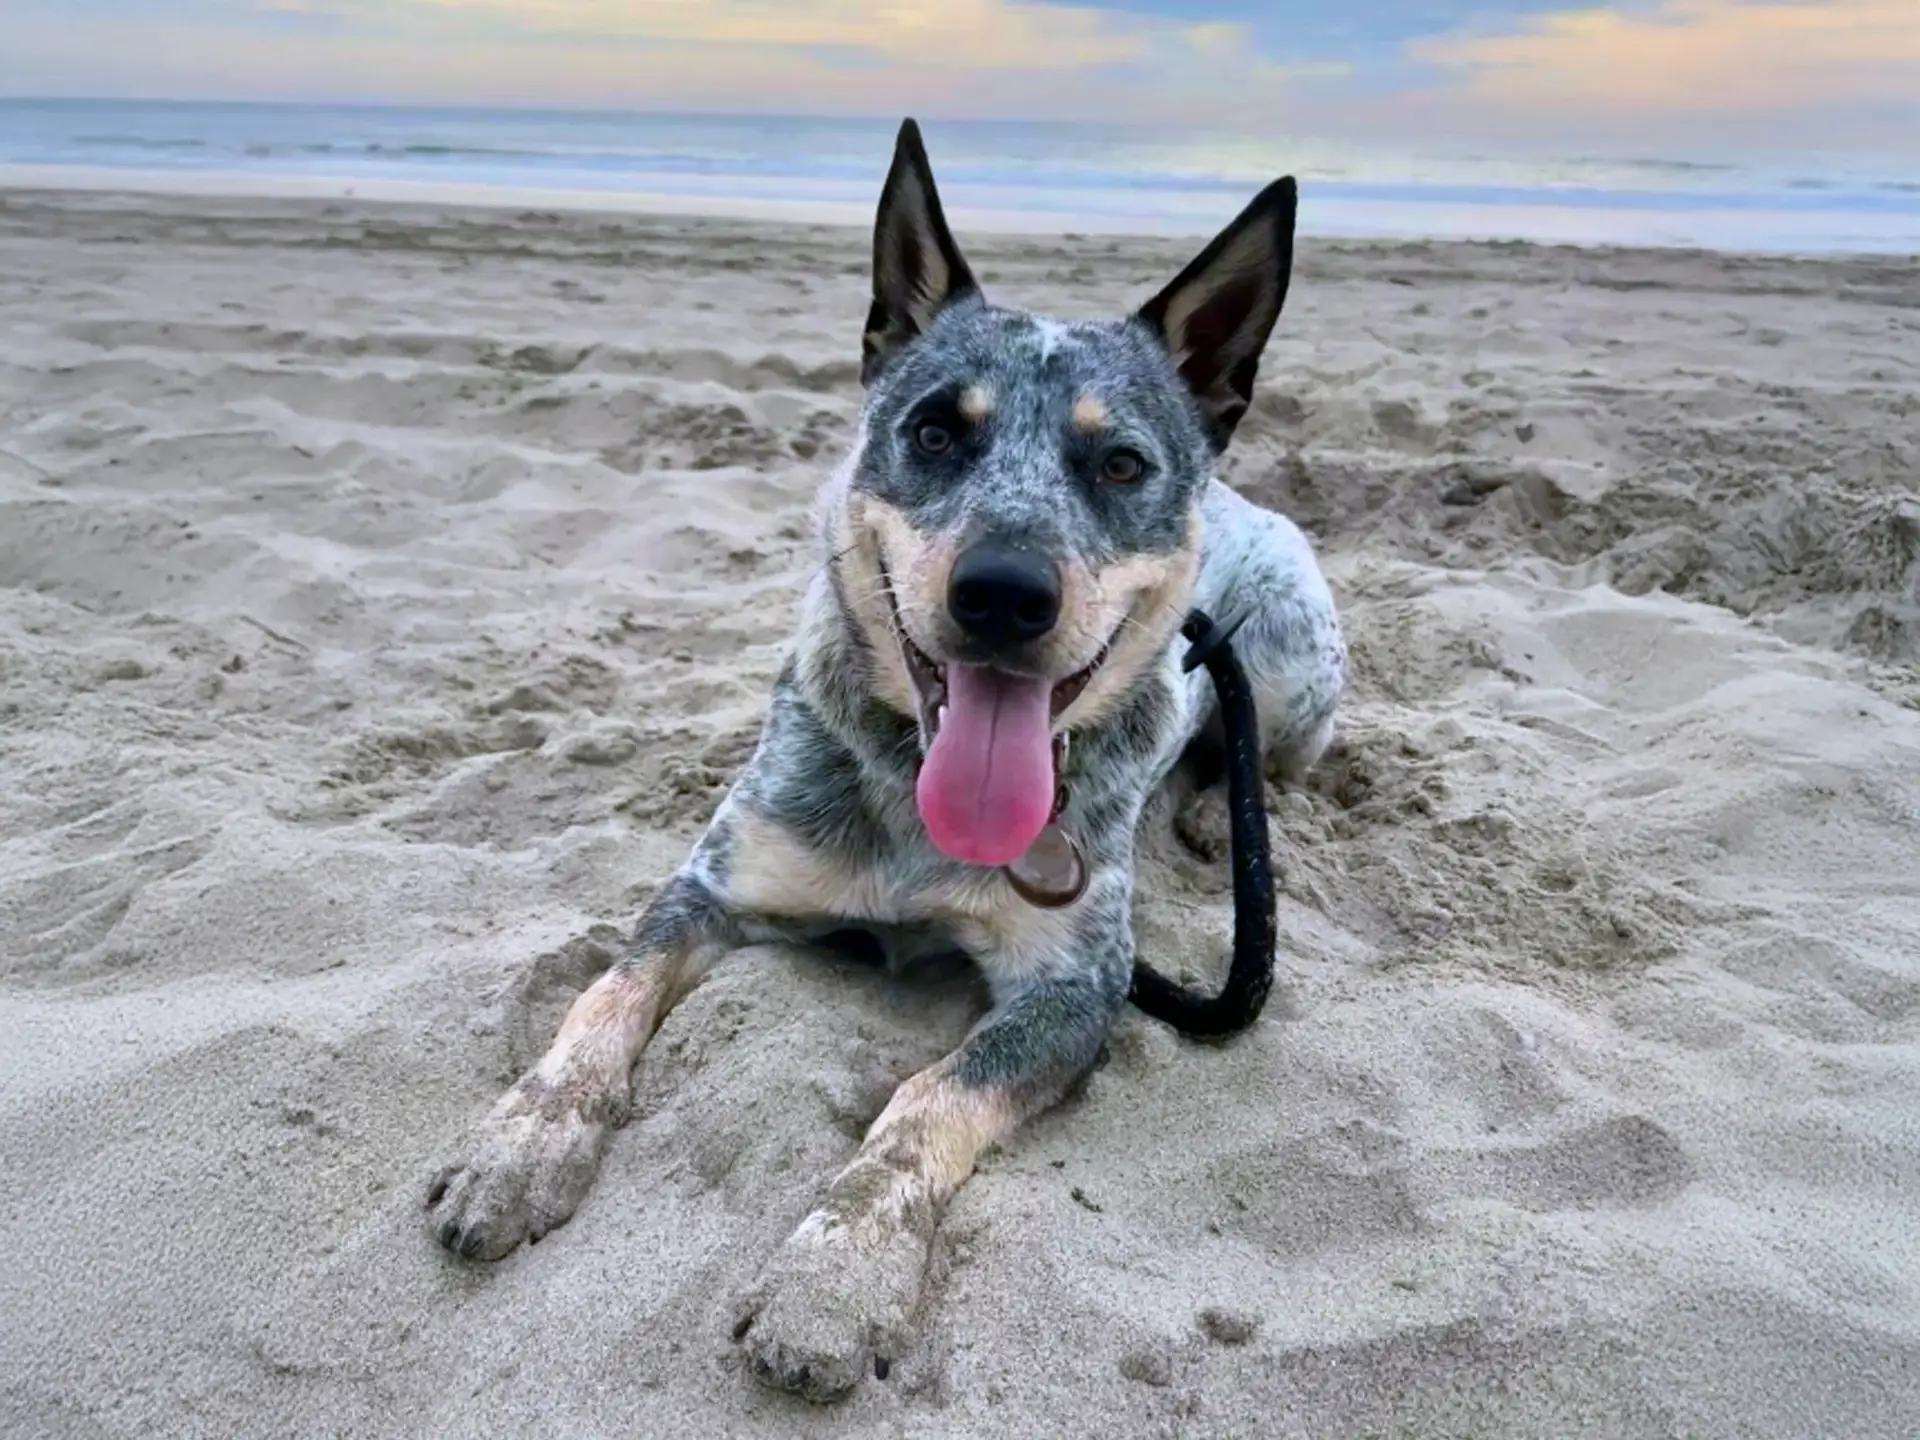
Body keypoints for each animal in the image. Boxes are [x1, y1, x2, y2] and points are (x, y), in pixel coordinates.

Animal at [420, 118, 1351, 1405]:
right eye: (934, 430)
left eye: (1119, 464)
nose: (1004, 593)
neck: (921, 806)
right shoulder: (711, 884)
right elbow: (604, 995)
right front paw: (519, 1147)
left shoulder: (1075, 989)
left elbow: (924, 1106)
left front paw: (831, 1281)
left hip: (1291, 656)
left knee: (1275, 757)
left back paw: (1218, 814)